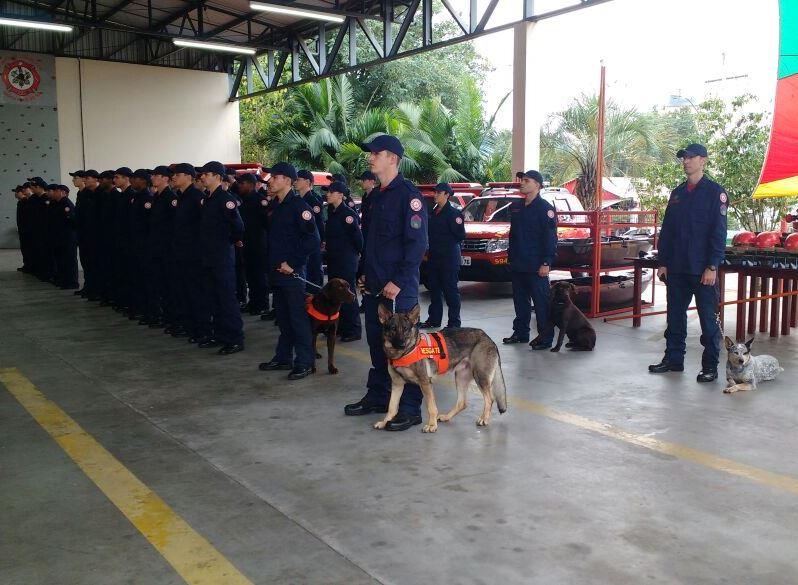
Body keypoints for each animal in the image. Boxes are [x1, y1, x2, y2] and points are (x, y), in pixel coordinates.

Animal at [376, 304, 506, 432]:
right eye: (393, 328)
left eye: (406, 329)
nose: (401, 344)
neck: (405, 352)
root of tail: (487, 337)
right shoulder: (397, 384)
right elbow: (392, 407)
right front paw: (385, 422)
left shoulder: (425, 383)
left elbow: (431, 407)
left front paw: (432, 425)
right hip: (461, 378)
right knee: (462, 403)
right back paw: (447, 417)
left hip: (480, 377)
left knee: (490, 399)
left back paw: (484, 419)